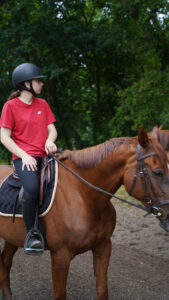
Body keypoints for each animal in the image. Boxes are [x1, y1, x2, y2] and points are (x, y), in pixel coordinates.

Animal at [0, 126, 169, 300]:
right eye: (157, 172)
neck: (83, 195)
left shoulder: (103, 247)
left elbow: (102, 290)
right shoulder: (60, 256)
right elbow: (60, 295)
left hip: (12, 238)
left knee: (4, 262)